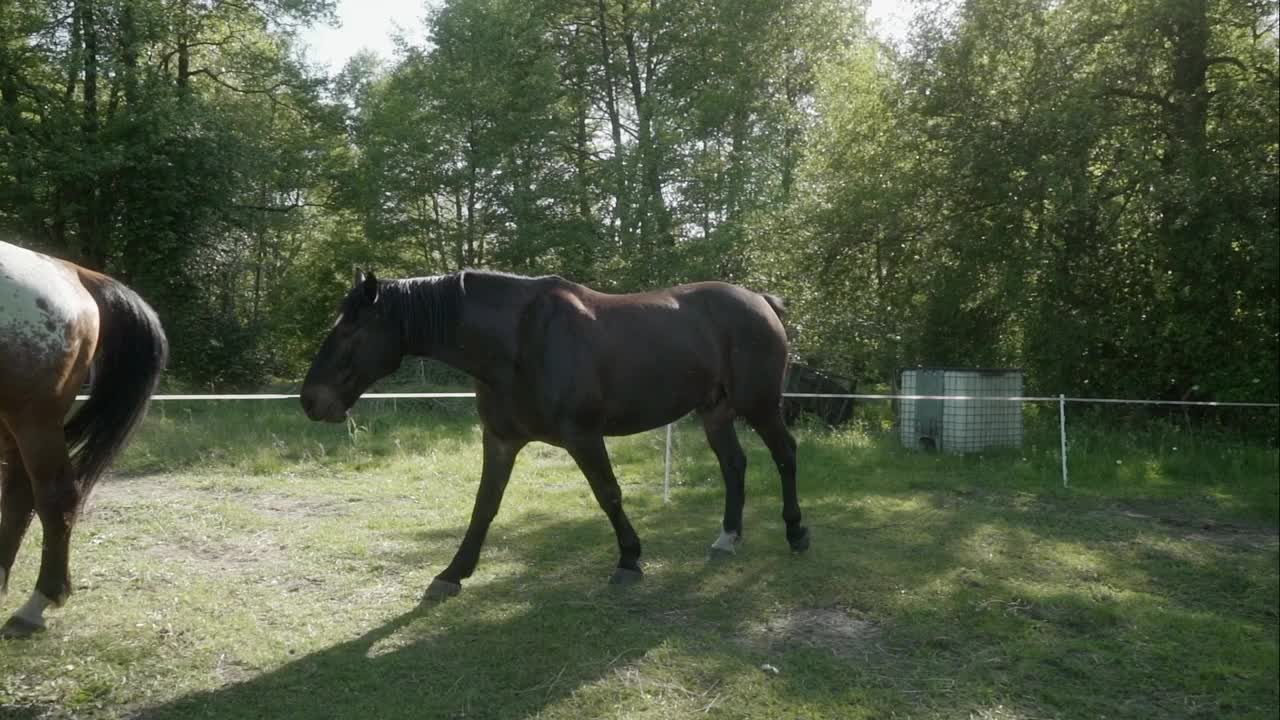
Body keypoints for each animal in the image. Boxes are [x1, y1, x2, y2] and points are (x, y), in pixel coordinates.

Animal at [299, 266, 808, 597]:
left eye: (350, 332)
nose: (310, 400)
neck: (518, 342)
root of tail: (762, 301)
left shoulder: (583, 437)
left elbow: (609, 494)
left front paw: (629, 560)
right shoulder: (500, 441)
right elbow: (484, 506)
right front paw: (453, 573)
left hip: (760, 406)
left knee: (785, 455)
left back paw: (796, 533)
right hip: (716, 412)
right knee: (735, 466)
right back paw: (727, 538)